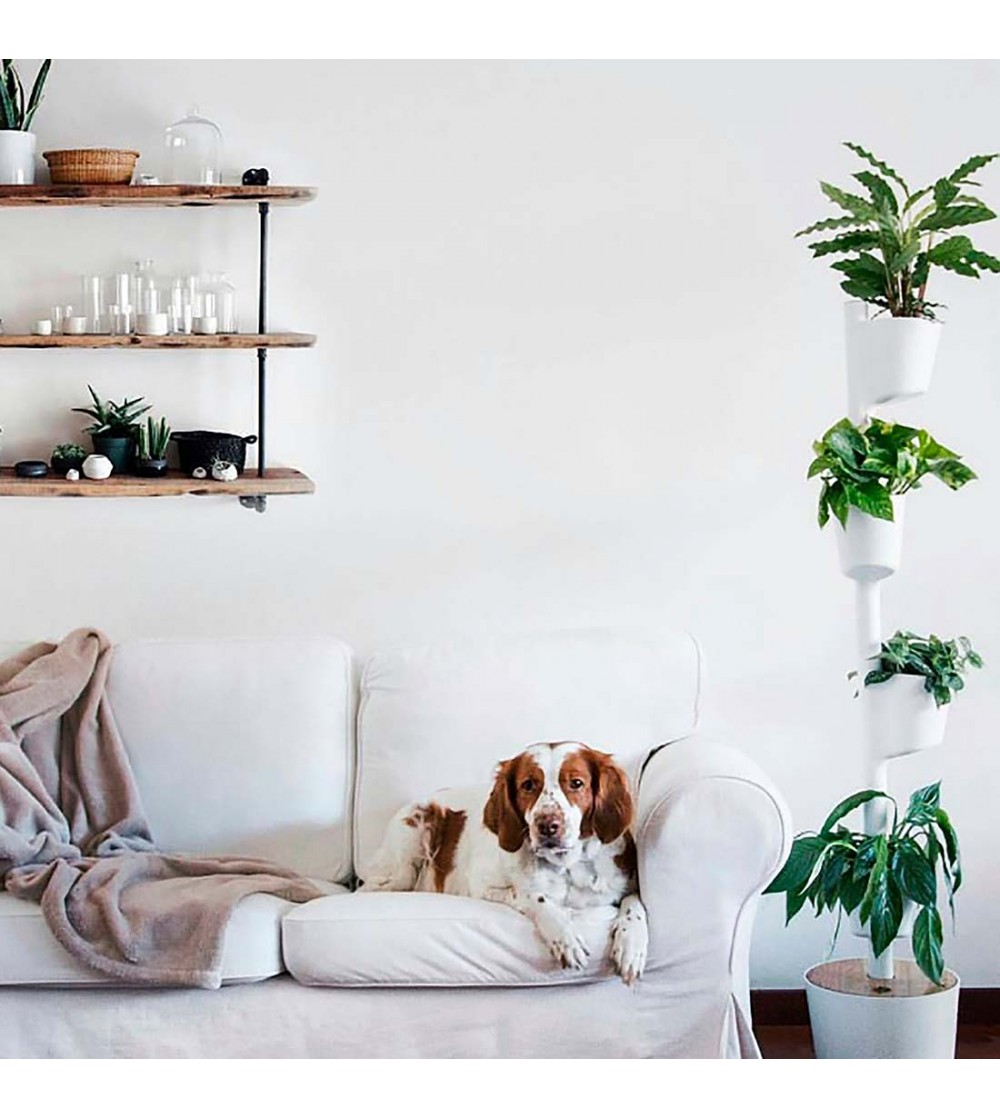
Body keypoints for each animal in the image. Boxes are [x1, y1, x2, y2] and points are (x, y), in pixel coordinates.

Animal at [360, 743, 648, 989]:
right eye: (528, 785)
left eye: (576, 783)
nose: (547, 826)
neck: (565, 866)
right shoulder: (481, 885)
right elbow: (536, 897)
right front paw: (565, 936)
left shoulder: (625, 883)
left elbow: (636, 904)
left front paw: (631, 947)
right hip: (406, 856)